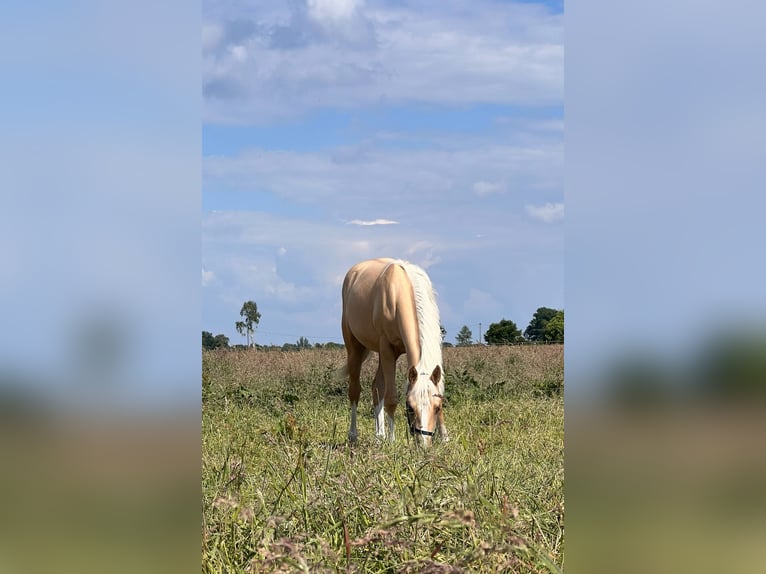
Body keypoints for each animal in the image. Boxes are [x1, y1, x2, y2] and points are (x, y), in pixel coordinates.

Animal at [344, 258, 450, 448]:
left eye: (437, 407)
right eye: (409, 407)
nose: (424, 445)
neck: (401, 291)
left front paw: (445, 439)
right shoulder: (387, 348)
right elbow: (391, 398)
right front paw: (393, 440)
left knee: (376, 387)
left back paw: (380, 436)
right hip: (355, 348)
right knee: (355, 390)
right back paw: (354, 436)